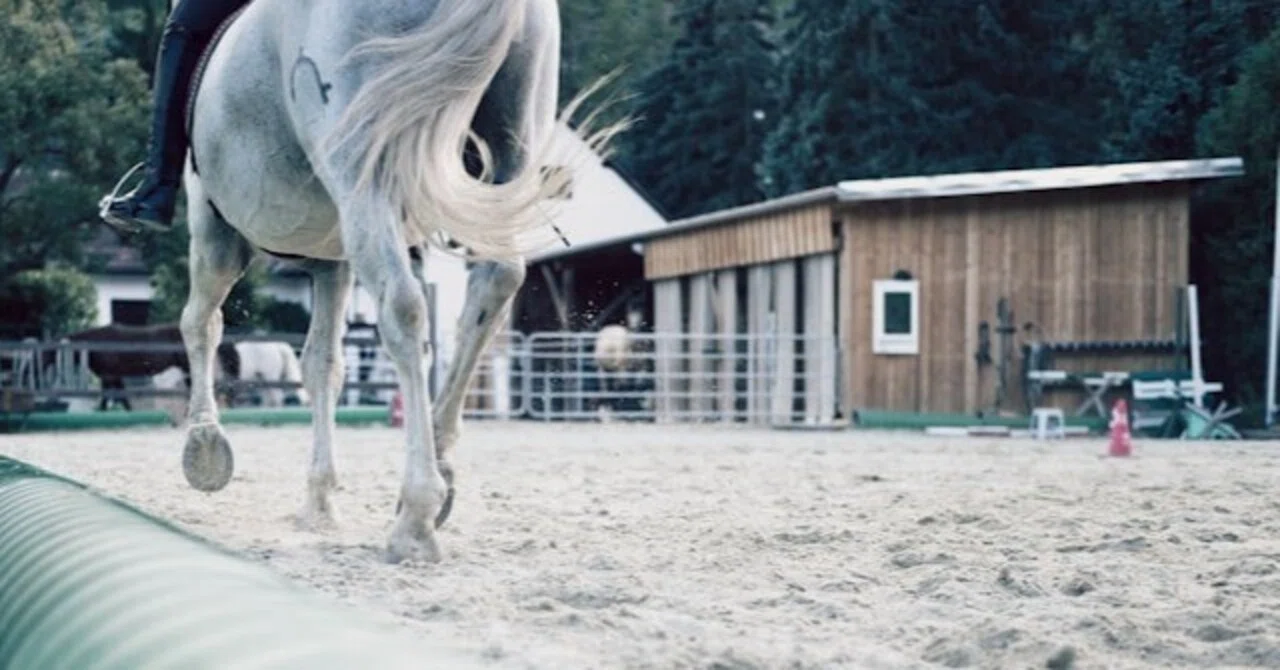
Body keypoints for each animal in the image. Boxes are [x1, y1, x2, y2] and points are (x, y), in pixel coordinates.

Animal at [165, 0, 620, 564]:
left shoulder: (215, 229)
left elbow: (202, 325)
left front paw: (204, 446)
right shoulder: (330, 258)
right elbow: (323, 366)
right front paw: (319, 501)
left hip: (359, 173)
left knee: (404, 309)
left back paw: (416, 515)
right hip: (511, 137)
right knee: (495, 281)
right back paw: (440, 471)